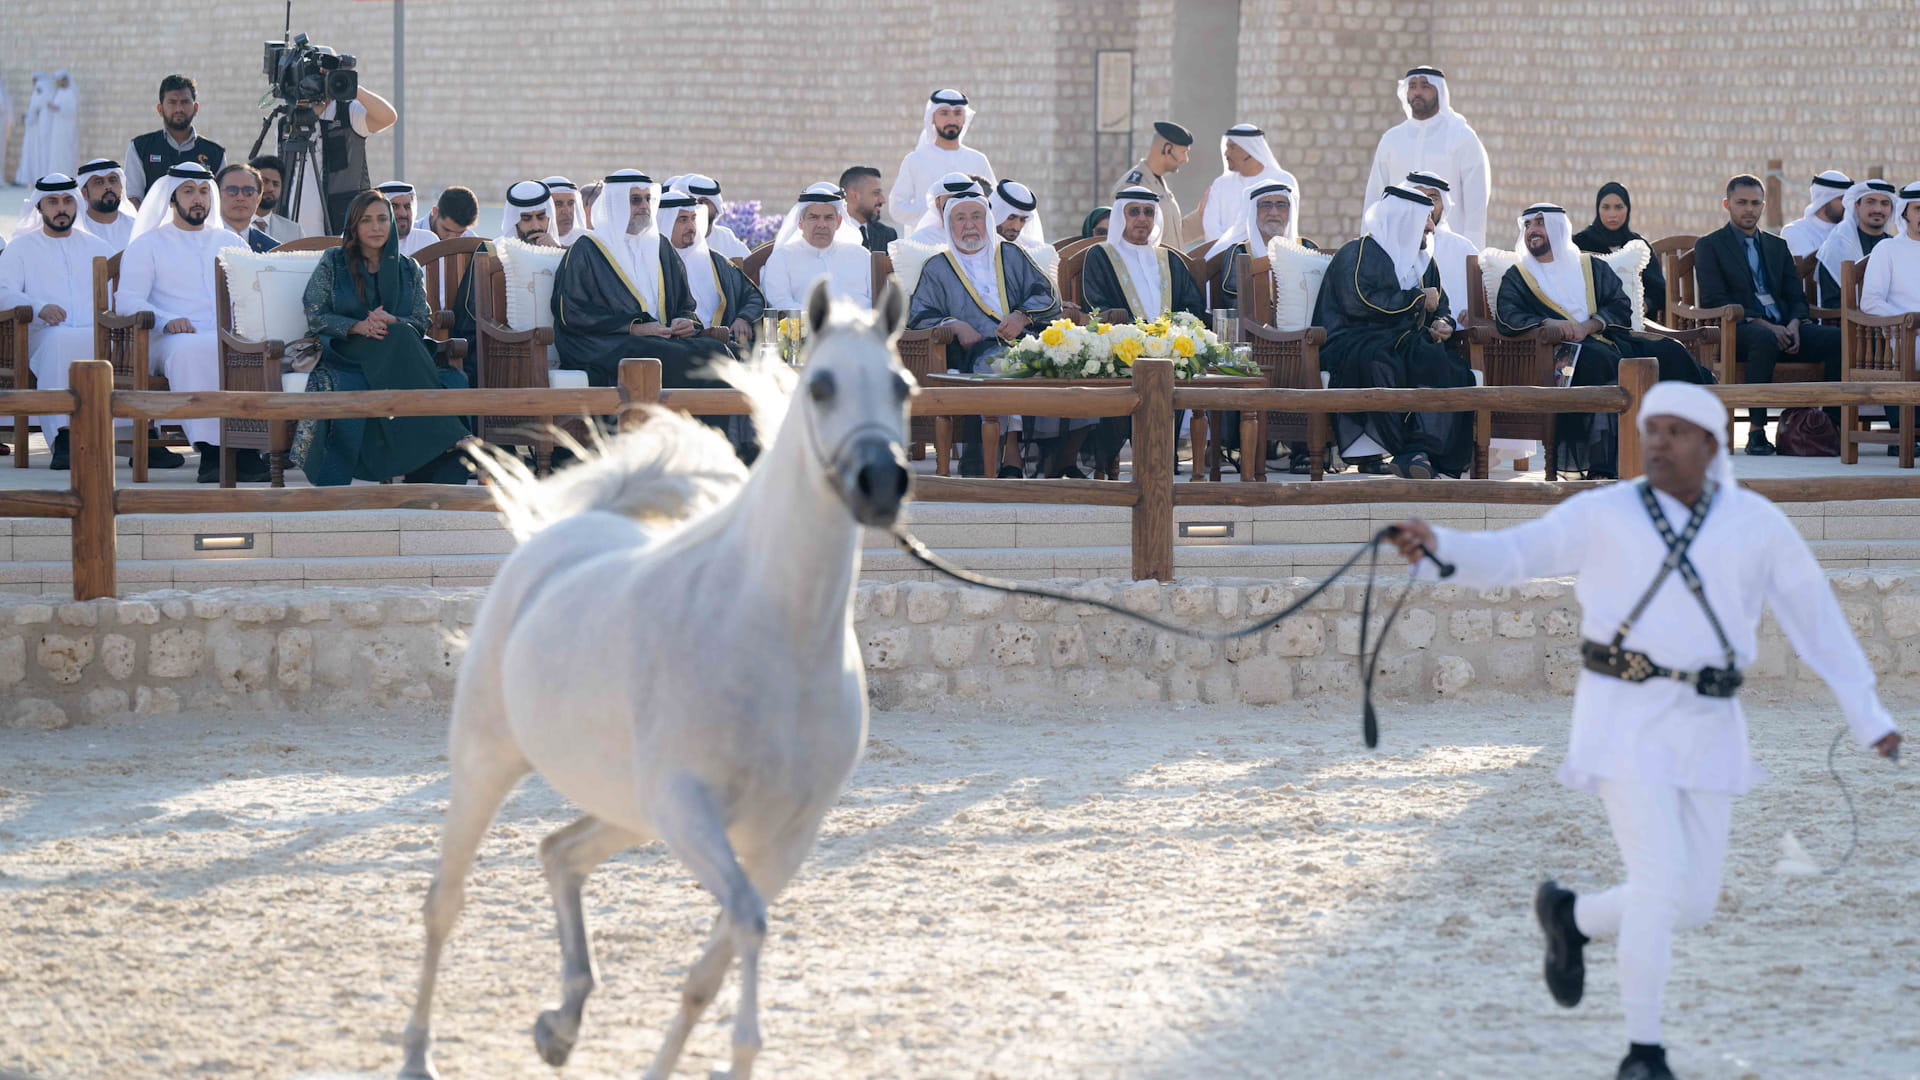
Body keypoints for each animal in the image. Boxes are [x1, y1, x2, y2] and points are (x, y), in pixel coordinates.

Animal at [397, 278, 913, 1076]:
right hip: (489, 765)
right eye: (821, 386)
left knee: (560, 854)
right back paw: (418, 1055)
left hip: (628, 808)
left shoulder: (785, 837)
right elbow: (746, 925)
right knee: (442, 904)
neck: (774, 632)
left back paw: (561, 1023)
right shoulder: (688, 808)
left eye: (902, 386)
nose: (881, 482)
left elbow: (711, 967)